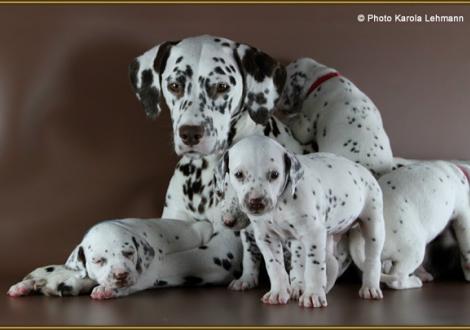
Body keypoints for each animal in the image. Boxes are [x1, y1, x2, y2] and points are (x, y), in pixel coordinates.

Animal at [7, 218, 212, 300]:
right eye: (98, 260)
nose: (121, 275)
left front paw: (106, 289)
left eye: (129, 253)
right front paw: (25, 284)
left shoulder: (148, 274)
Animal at [348, 160, 470, 288]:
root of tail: (358, 230)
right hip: (414, 251)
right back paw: (414, 281)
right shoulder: (464, 217)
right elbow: (466, 243)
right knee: (396, 279)